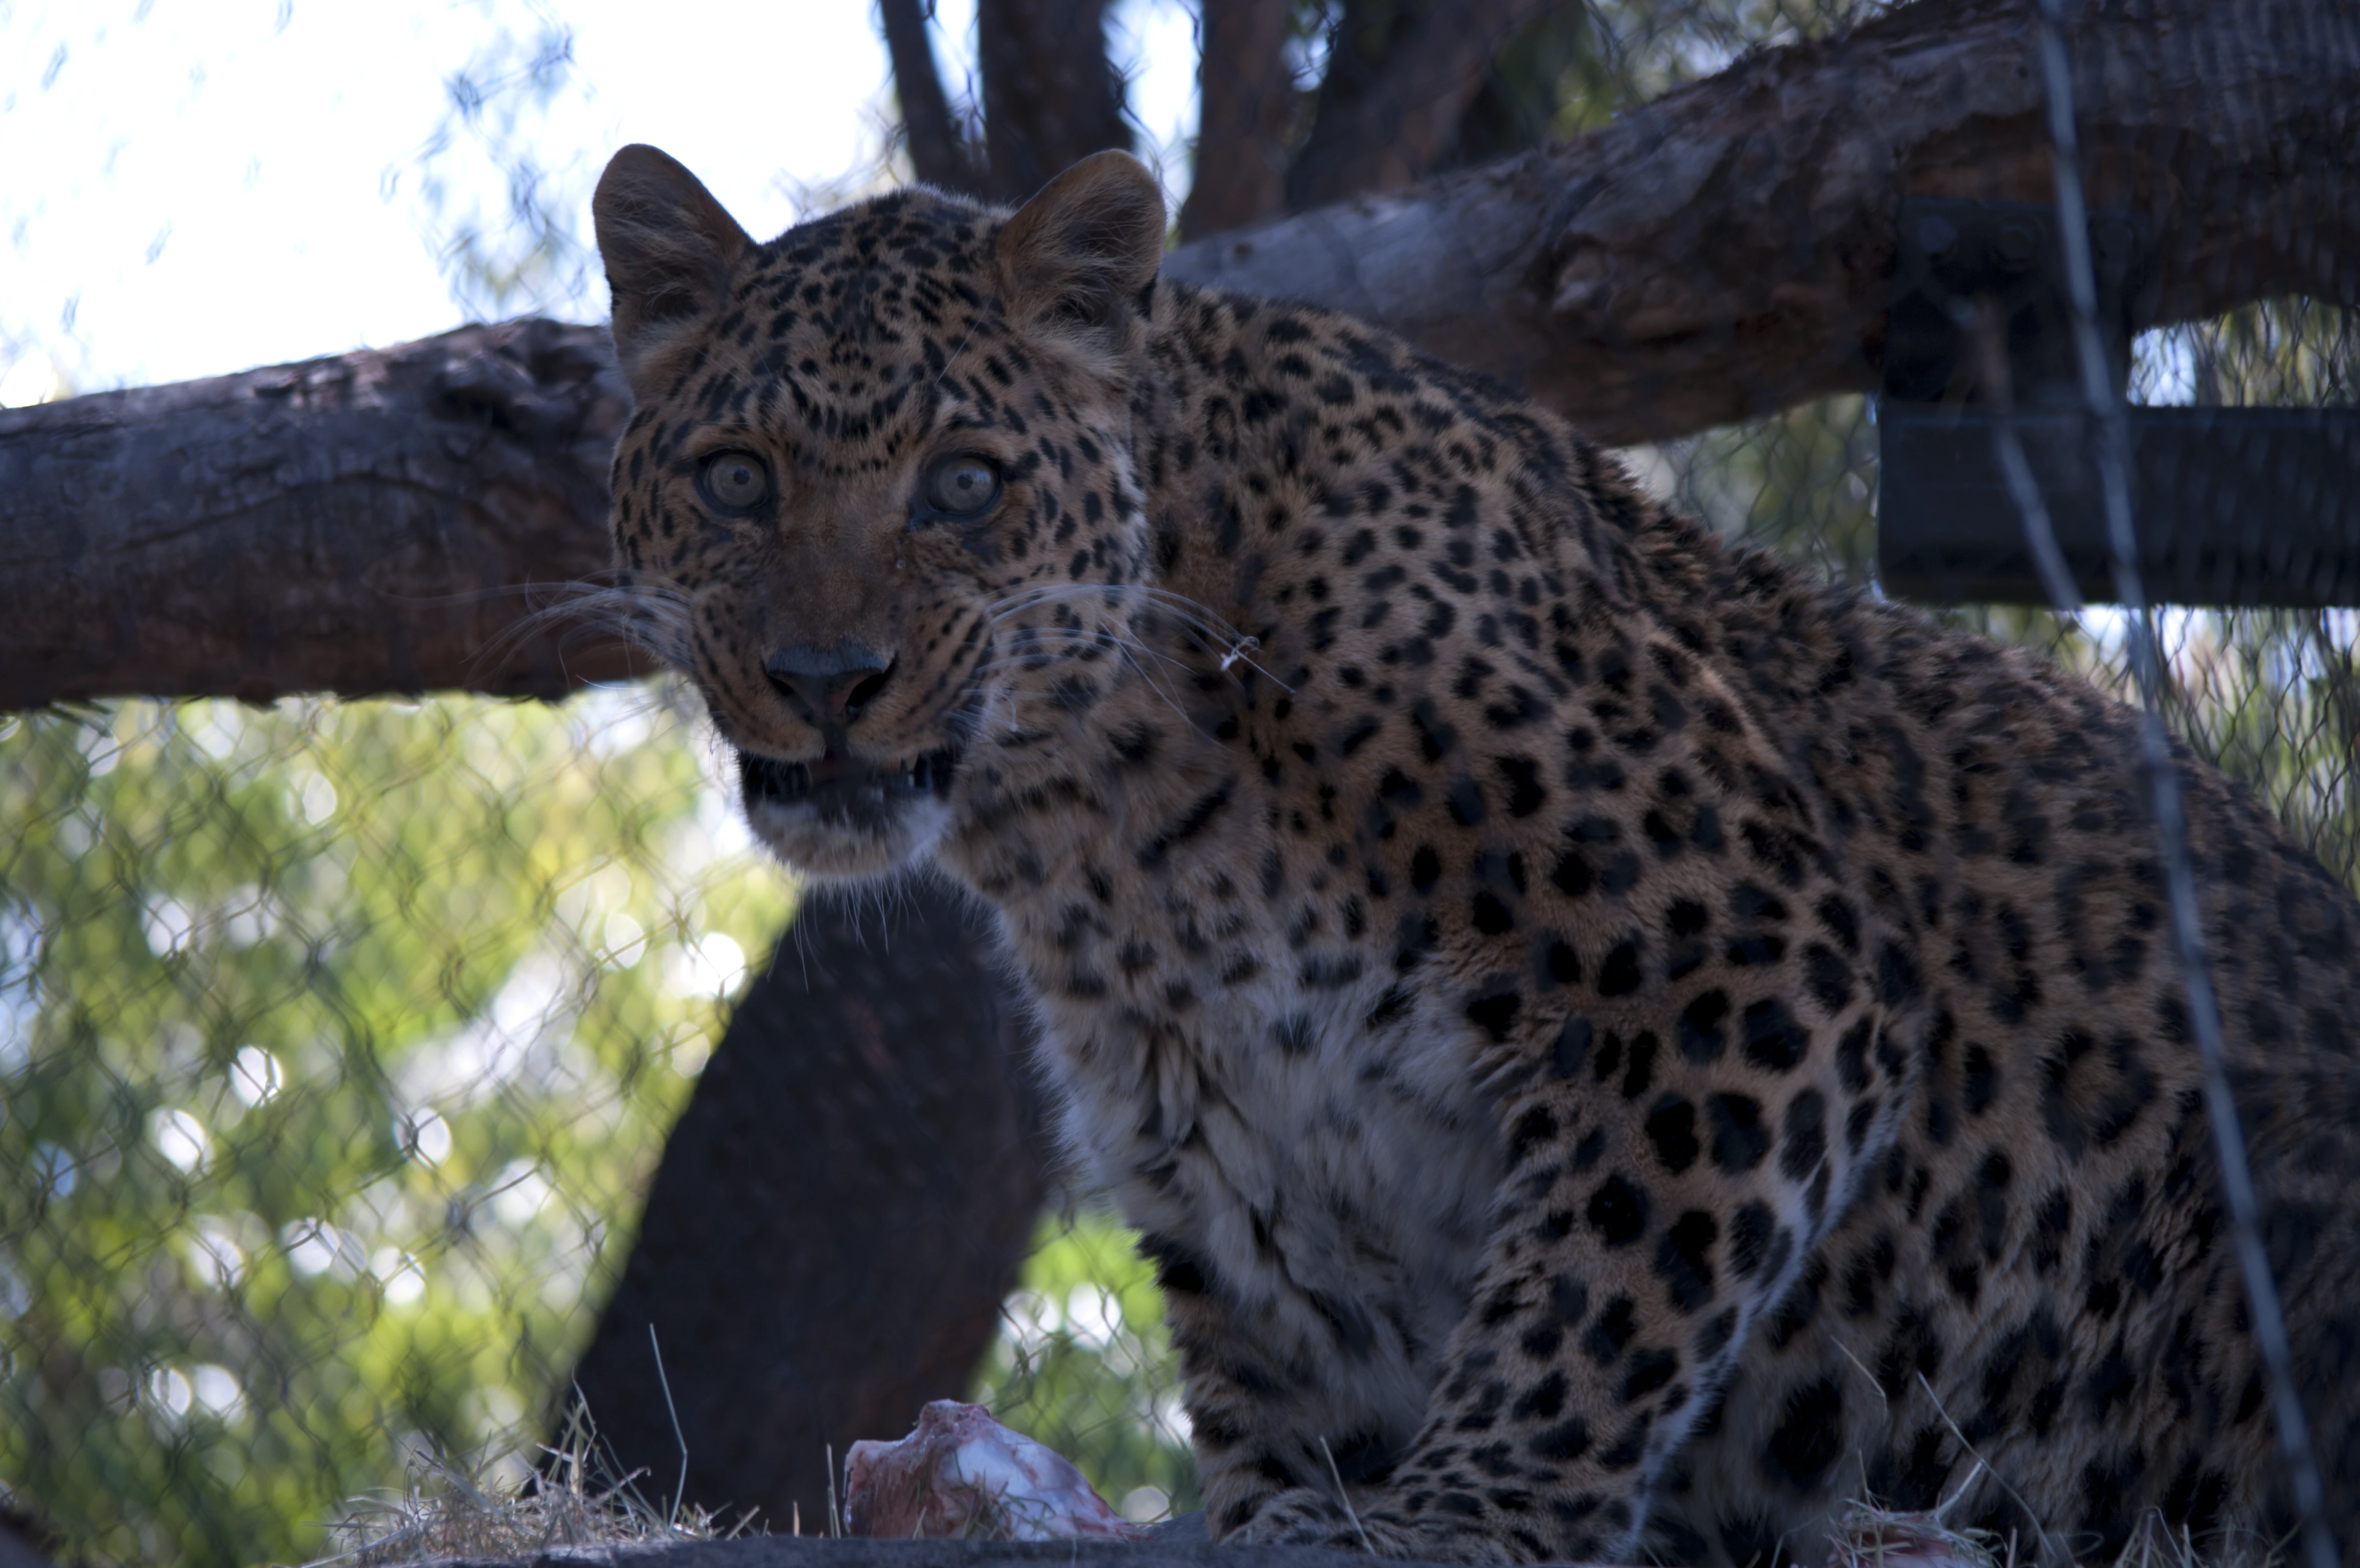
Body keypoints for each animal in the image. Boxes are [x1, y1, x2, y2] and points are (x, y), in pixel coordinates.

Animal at [588, 142, 2360, 1567]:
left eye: (963, 484)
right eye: (735, 478)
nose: (828, 677)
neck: (1109, 831)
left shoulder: (1745, 963)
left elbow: (1600, 1290)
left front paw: (1463, 1515)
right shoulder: (1249, 1165)